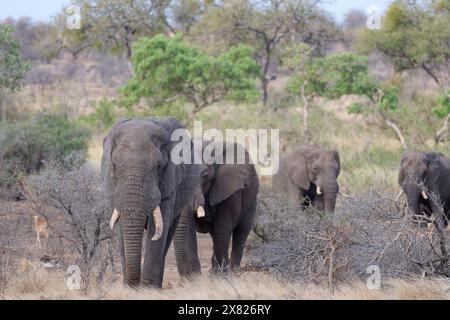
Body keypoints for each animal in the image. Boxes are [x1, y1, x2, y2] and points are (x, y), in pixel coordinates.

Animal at [101, 117, 204, 288]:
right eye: (114, 166)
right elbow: (122, 227)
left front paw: (147, 289)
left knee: (168, 232)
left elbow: (157, 230)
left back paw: (156, 286)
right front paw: (130, 288)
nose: (132, 285)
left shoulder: (170, 182)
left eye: (159, 166)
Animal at [173, 141, 260, 276]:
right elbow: (188, 229)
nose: (188, 276)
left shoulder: (229, 188)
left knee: (241, 232)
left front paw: (218, 276)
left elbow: (222, 227)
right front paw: (195, 276)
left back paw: (233, 271)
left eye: (205, 175)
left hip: (252, 200)